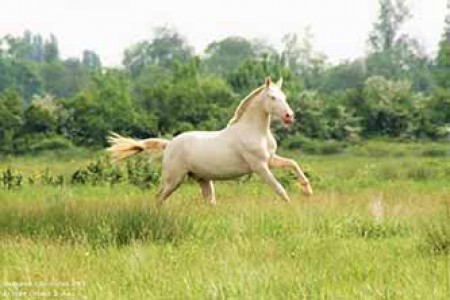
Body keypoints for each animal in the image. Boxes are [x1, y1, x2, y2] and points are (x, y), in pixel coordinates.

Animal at [108, 76, 312, 205]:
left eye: (284, 96)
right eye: (272, 97)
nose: (289, 116)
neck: (255, 131)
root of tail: (169, 144)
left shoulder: (270, 159)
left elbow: (293, 164)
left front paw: (307, 190)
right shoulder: (259, 166)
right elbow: (279, 188)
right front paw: (290, 204)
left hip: (203, 180)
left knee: (209, 201)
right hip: (174, 179)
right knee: (159, 197)